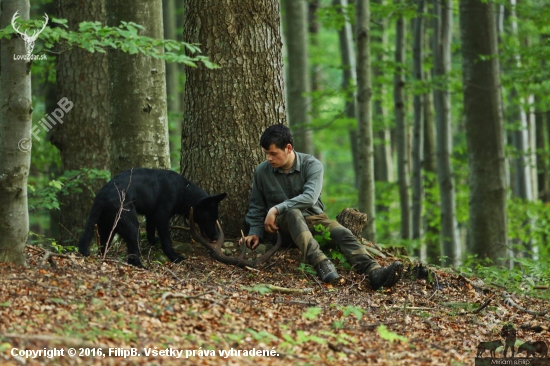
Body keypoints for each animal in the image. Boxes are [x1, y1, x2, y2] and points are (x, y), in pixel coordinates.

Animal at [77, 167, 226, 268]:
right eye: (209, 218)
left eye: (216, 218)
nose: (215, 237)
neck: (184, 191)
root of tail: (102, 194)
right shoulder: (162, 217)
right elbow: (167, 240)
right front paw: (175, 257)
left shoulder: (151, 214)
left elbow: (150, 230)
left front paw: (153, 241)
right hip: (131, 224)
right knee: (131, 254)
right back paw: (141, 266)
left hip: (108, 226)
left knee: (104, 244)